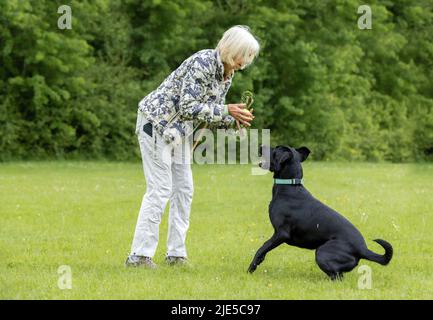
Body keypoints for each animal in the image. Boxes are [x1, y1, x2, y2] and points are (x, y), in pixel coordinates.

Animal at [246, 146, 392, 280]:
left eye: (275, 149)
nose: (261, 146)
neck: (289, 187)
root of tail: (363, 249)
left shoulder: (281, 233)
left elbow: (262, 247)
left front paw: (251, 268)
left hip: (321, 252)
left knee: (337, 276)